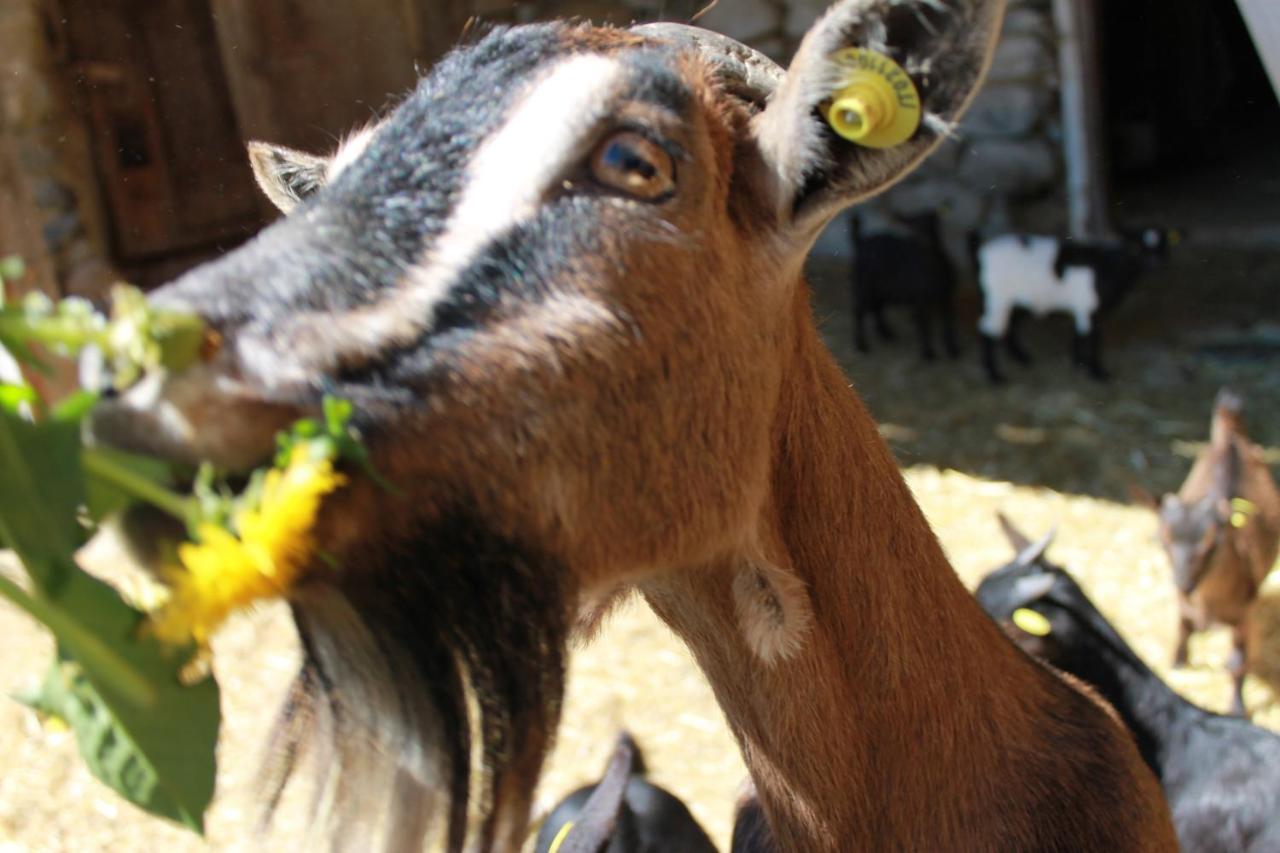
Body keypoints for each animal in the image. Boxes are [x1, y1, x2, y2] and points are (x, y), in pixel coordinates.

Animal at [849, 212, 962, 361]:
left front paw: (953, 349)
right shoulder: (920, 298)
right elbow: (925, 325)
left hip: (881, 288)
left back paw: (886, 333)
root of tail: (861, 241)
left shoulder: (946, 296)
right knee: (859, 311)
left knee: (877, 308)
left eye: (933, 222)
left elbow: (948, 322)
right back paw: (861, 345)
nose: (924, 239)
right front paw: (928, 353)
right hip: (865, 285)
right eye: (911, 226)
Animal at [972, 229, 1172, 381]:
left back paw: (1022, 358)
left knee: (1011, 325)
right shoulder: (1089, 308)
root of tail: (982, 252)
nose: (1154, 262)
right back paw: (995, 376)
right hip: (997, 298)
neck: (1108, 268)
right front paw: (1097, 372)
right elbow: (1092, 337)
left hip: (1016, 299)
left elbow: (1079, 334)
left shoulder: (1085, 308)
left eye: (1161, 246)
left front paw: (1078, 363)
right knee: (988, 330)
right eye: (1137, 248)